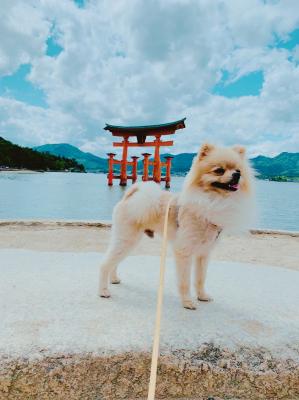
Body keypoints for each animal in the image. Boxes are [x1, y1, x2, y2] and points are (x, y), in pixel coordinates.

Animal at [99, 144, 255, 310]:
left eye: (238, 170)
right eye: (219, 170)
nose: (237, 175)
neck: (211, 201)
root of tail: (129, 197)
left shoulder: (203, 253)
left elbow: (200, 278)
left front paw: (202, 296)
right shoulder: (184, 251)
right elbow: (185, 281)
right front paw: (187, 302)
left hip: (129, 242)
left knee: (114, 261)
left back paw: (113, 279)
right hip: (127, 239)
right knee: (105, 264)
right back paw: (103, 291)